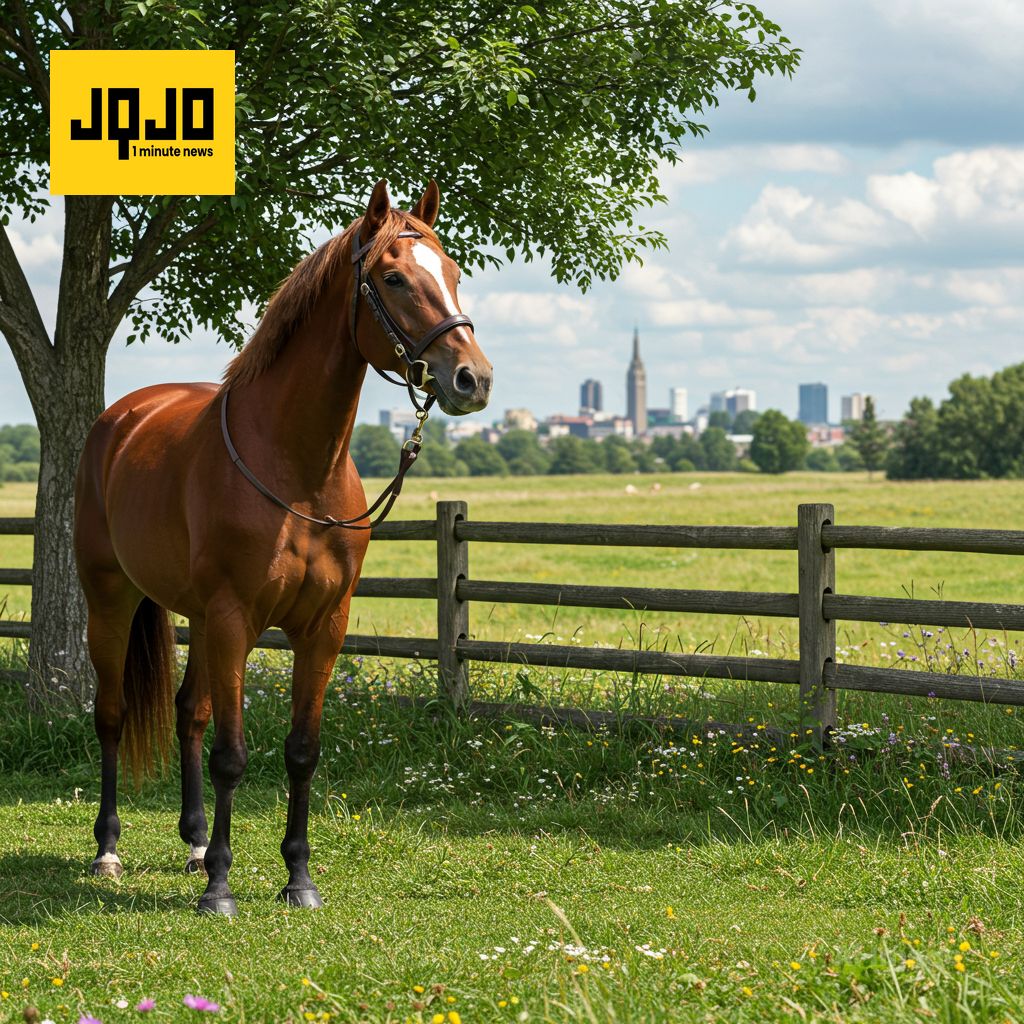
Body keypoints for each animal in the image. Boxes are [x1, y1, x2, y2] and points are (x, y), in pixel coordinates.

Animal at [73, 180, 492, 915]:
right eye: (393, 278)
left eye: (452, 272)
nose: (473, 378)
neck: (299, 471)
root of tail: (119, 421)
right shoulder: (235, 619)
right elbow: (233, 756)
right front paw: (220, 888)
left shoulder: (323, 626)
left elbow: (301, 750)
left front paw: (297, 877)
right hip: (113, 601)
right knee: (114, 715)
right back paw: (110, 850)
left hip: (195, 619)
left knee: (189, 715)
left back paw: (194, 843)